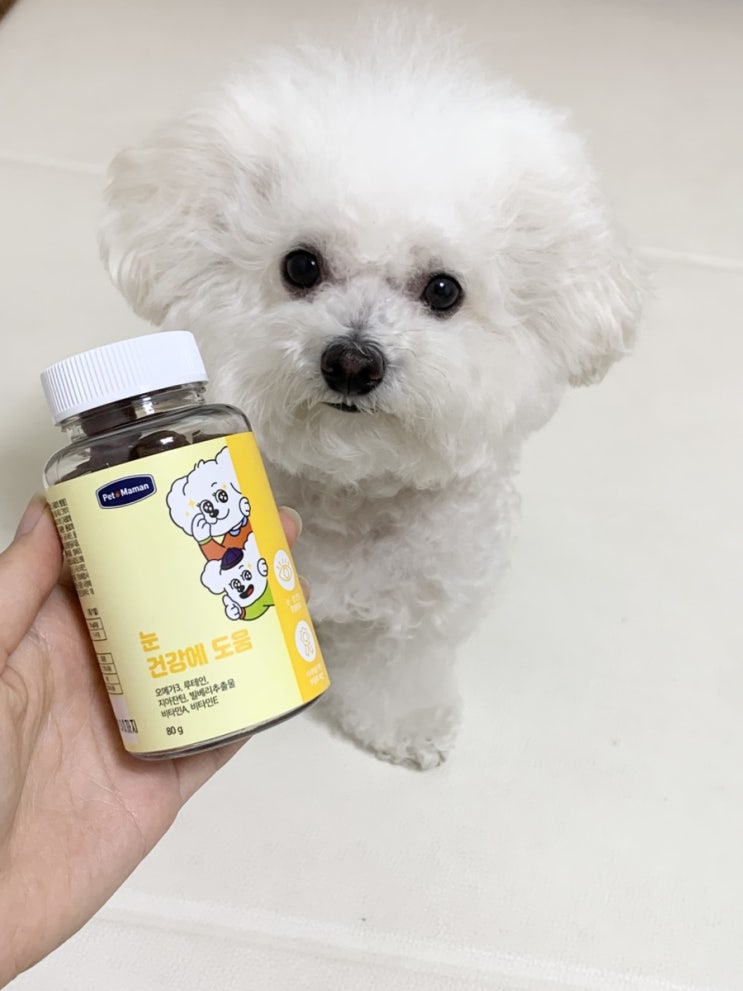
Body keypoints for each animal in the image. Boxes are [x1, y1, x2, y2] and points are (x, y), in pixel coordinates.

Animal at [99, 16, 643, 769]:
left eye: (443, 289)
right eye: (301, 265)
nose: (353, 362)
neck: (351, 488)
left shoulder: (423, 606)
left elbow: (399, 669)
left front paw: (408, 727)